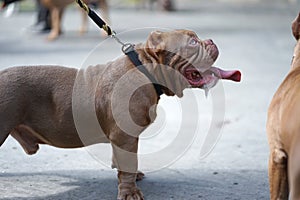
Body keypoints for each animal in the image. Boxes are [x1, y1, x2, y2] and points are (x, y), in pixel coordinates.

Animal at [0, 30, 240, 200]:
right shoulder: (126, 136)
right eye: (192, 43)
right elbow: (128, 165)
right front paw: (129, 193)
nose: (211, 40)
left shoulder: (122, 138)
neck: (145, 69)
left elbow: (123, 162)